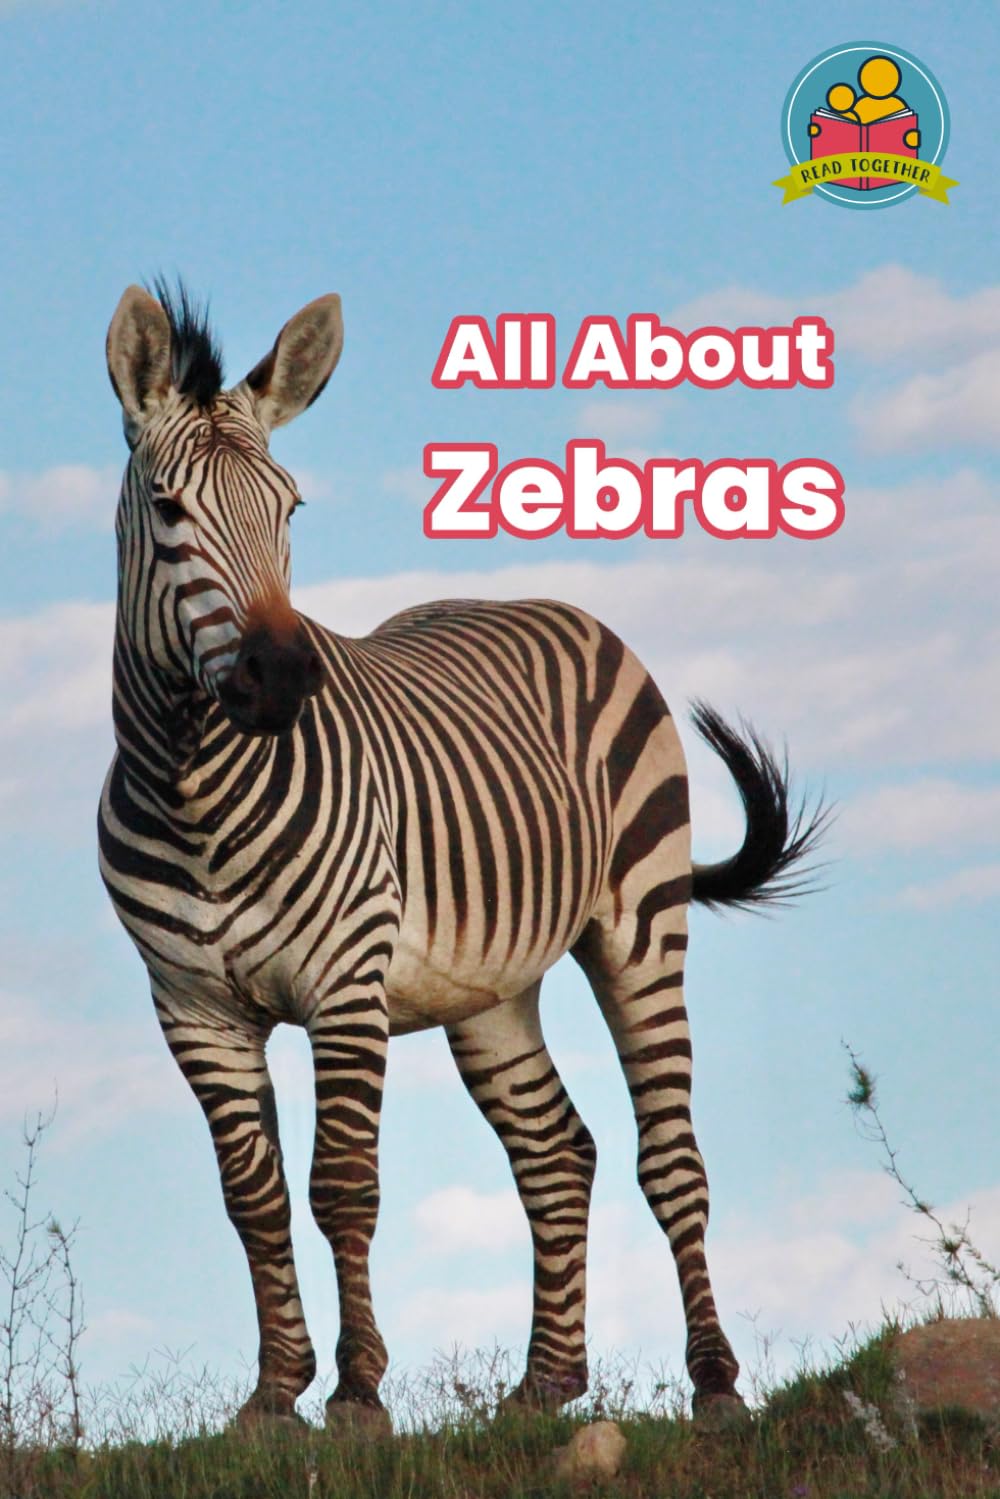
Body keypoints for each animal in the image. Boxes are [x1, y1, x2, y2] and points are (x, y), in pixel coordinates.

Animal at [99, 280, 825, 1433]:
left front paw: (357, 1395)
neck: (193, 786)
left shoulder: (344, 984)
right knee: (556, 1152)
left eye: (289, 510)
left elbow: (342, 1184)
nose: (282, 678)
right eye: (168, 511)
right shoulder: (192, 1007)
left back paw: (713, 1382)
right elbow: (253, 1197)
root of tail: (539, 600)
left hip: (640, 924)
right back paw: (543, 1386)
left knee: (668, 1156)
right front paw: (272, 1396)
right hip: (490, 989)